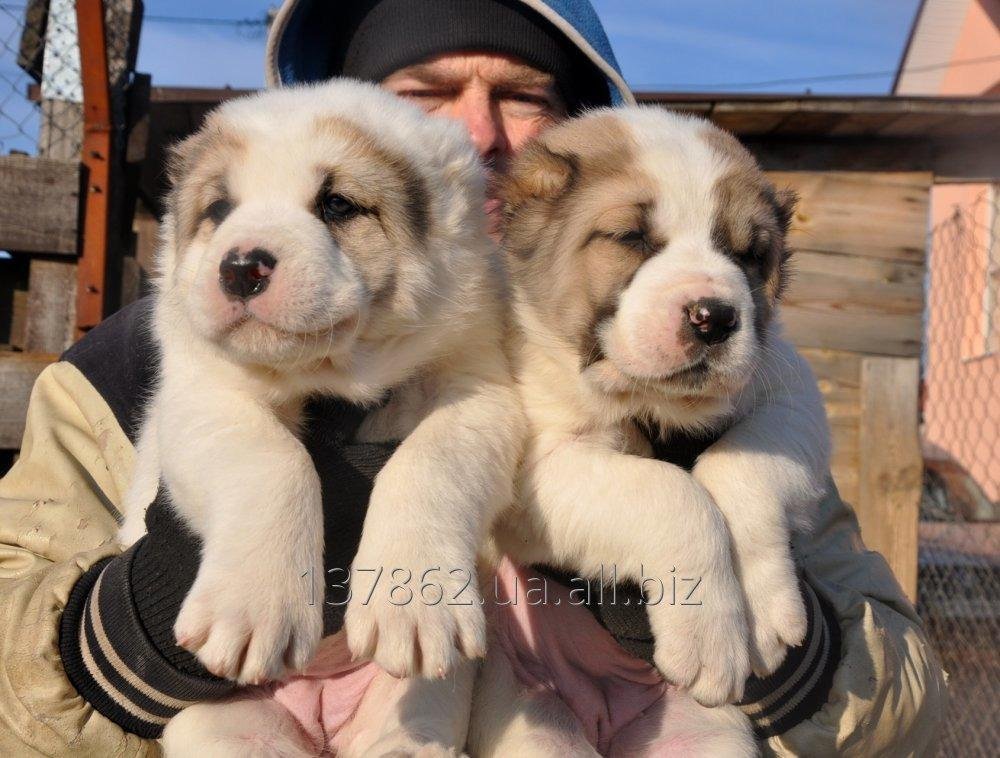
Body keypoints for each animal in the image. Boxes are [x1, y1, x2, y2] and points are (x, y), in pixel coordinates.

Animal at [121, 80, 520, 756]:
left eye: (336, 205)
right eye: (219, 208)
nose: (241, 266)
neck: (327, 377)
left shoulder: (481, 391)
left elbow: (431, 461)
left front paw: (414, 595)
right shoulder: (199, 396)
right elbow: (272, 460)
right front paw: (255, 604)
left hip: (417, 713)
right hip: (223, 728)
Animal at [472, 108, 832, 758]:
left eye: (748, 253)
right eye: (631, 238)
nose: (714, 317)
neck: (653, 405)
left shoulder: (793, 394)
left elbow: (739, 466)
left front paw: (762, 612)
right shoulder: (536, 474)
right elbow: (673, 495)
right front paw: (712, 632)